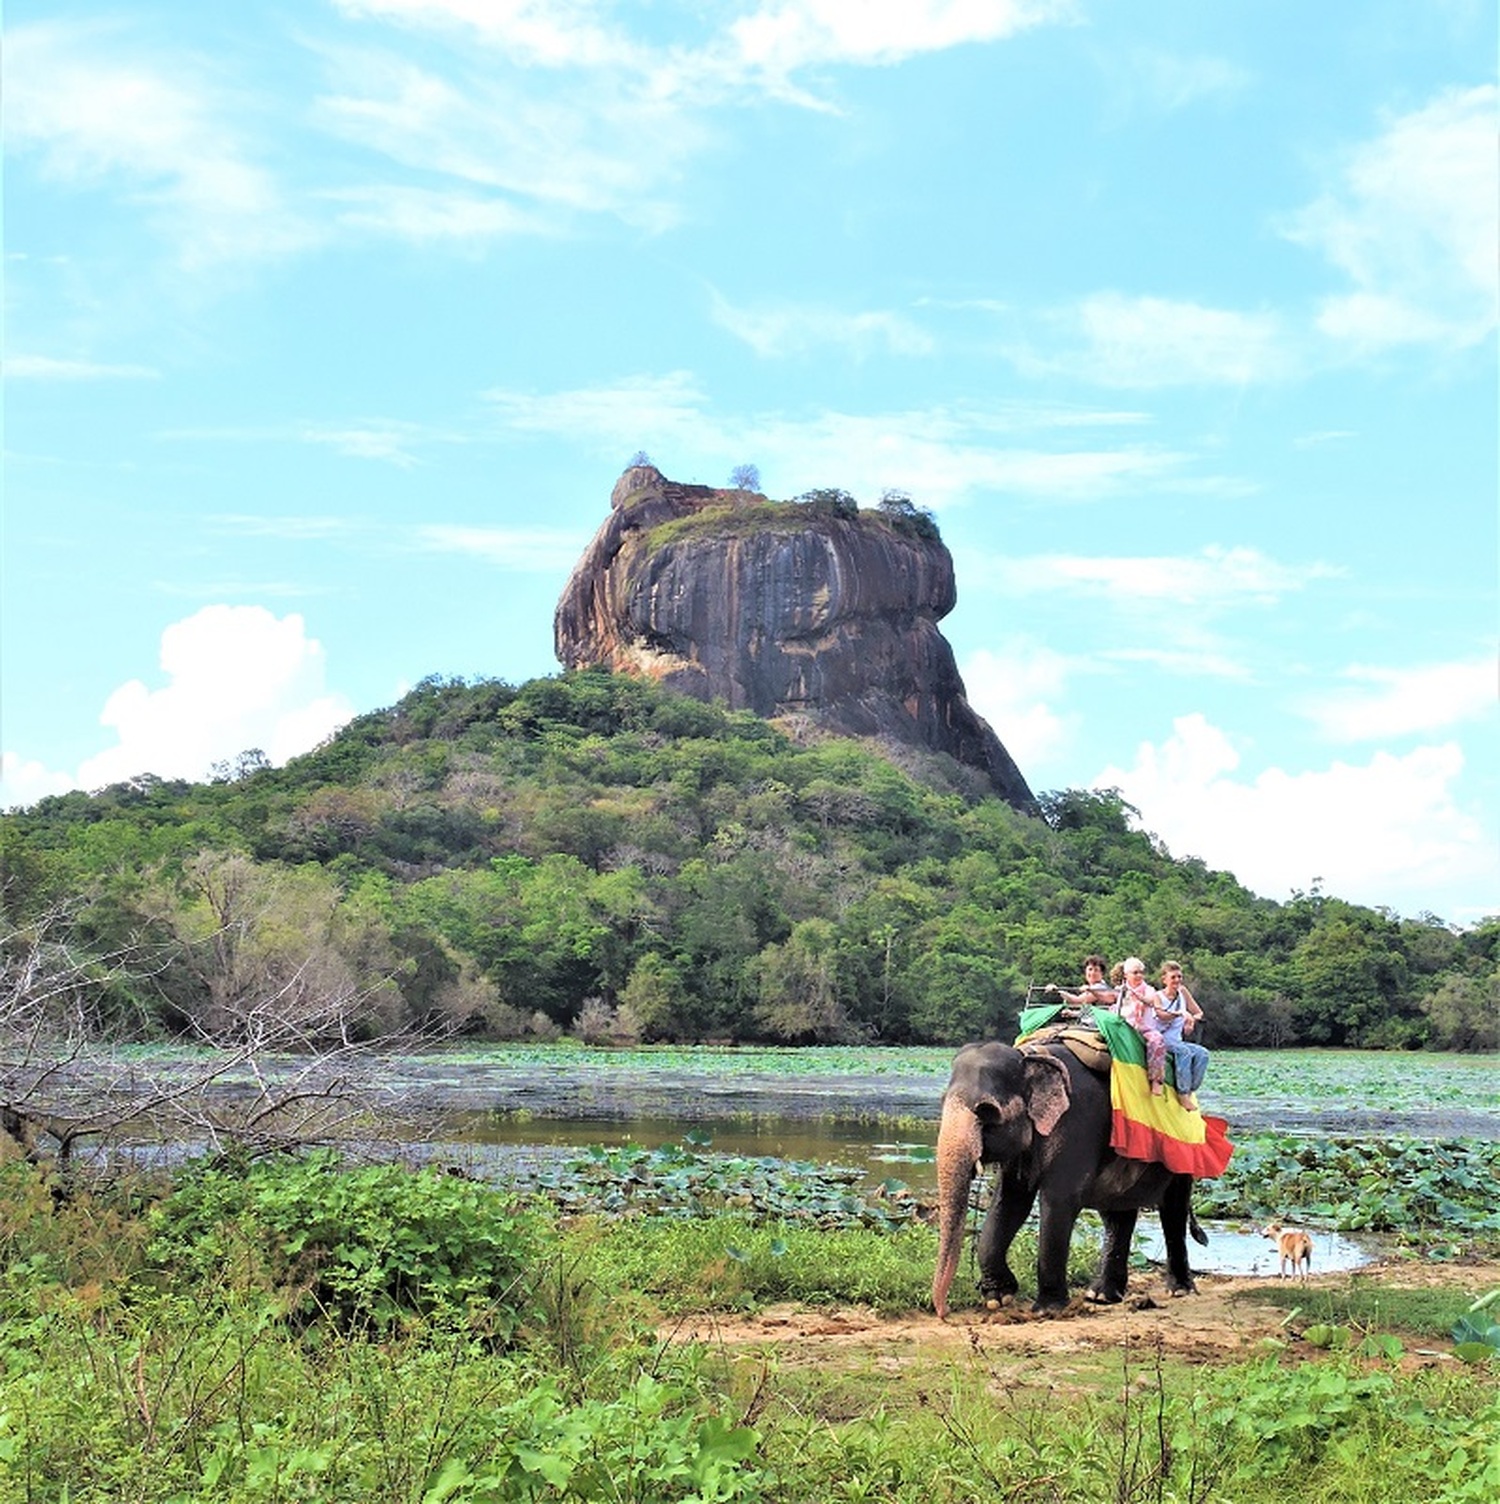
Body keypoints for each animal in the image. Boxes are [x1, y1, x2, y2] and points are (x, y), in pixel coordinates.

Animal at [926, 1034, 1203, 1317]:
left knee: (1174, 1208)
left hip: (1185, 1149)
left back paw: (1179, 1290)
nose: (943, 1312)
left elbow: (1058, 1200)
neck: (1031, 1058)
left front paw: (1048, 1310)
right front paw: (999, 1298)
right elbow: (1010, 1201)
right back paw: (1101, 1296)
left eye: (987, 1111)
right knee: (1117, 1214)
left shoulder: (1078, 1124)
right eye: (942, 1101)